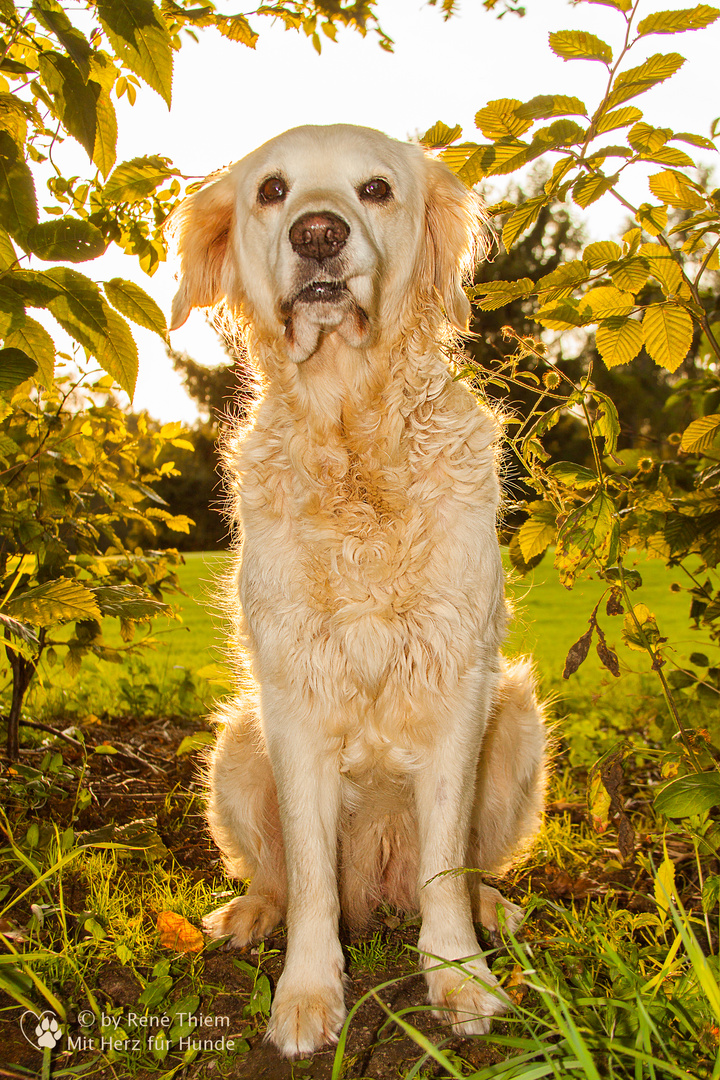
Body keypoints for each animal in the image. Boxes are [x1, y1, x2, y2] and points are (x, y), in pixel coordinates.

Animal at [169, 124, 546, 1054]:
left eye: (375, 188)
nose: (318, 235)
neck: (353, 435)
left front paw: (460, 979)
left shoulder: (458, 683)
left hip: (518, 719)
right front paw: (307, 996)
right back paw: (251, 914)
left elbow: (446, 863)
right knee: (276, 871)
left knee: (463, 869)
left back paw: (493, 909)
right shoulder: (294, 697)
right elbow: (309, 875)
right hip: (237, 745)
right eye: (272, 191)